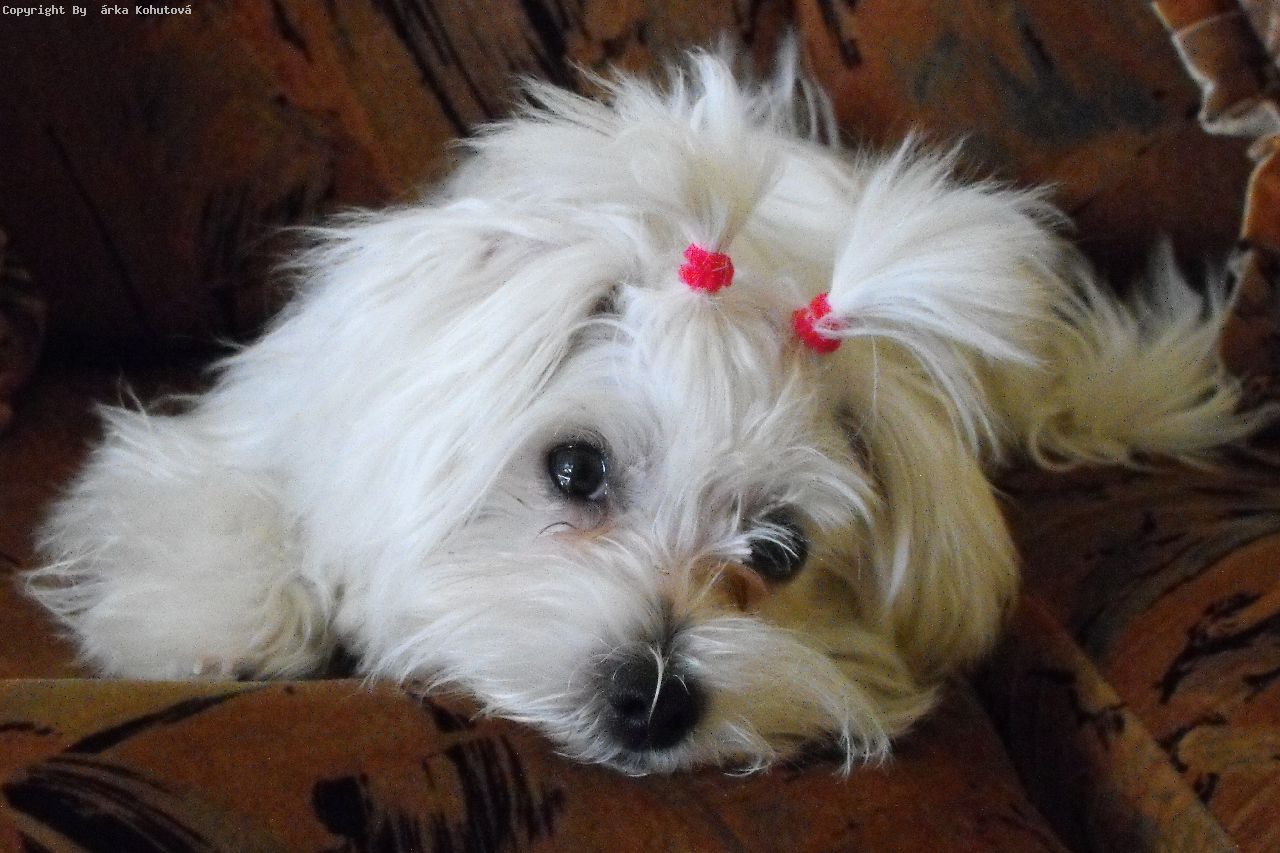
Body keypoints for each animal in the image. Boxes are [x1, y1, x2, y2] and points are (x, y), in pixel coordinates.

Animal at [26, 46, 1263, 774]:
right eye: (574, 469)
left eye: (778, 548)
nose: (655, 698)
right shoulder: (272, 420)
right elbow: (228, 498)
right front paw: (215, 628)